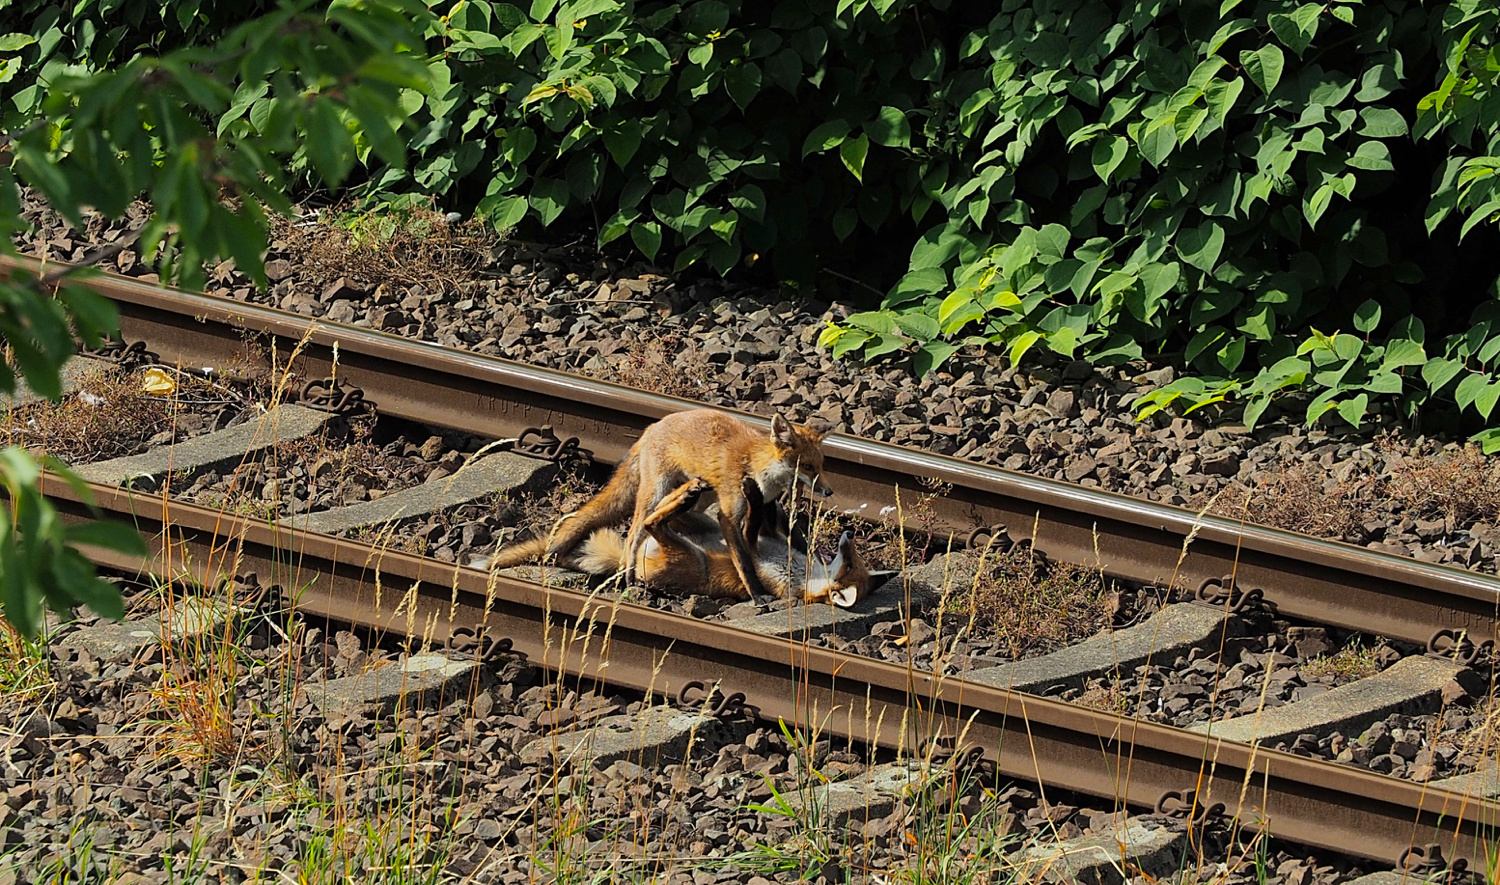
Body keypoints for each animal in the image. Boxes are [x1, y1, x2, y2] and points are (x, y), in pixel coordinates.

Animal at [486, 408, 834, 597]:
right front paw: (759, 595)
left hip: (701, 494)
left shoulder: (768, 504)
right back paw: (627, 576)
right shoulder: (730, 514)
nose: (829, 492)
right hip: (656, 491)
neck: (757, 469)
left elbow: (782, 534)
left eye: (822, 466)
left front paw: (806, 552)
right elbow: (744, 560)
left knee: (673, 518)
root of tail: (652, 426)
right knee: (635, 532)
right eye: (807, 467)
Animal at [573, 480, 888, 612]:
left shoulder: (757, 554)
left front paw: (755, 496)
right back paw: (686, 490)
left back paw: (684, 497)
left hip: (686, 553)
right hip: (702, 524)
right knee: (657, 509)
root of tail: (638, 567)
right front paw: (763, 498)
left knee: (653, 522)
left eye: (851, 564)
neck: (803, 571)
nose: (849, 535)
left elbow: (753, 525)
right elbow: (764, 520)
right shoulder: (769, 539)